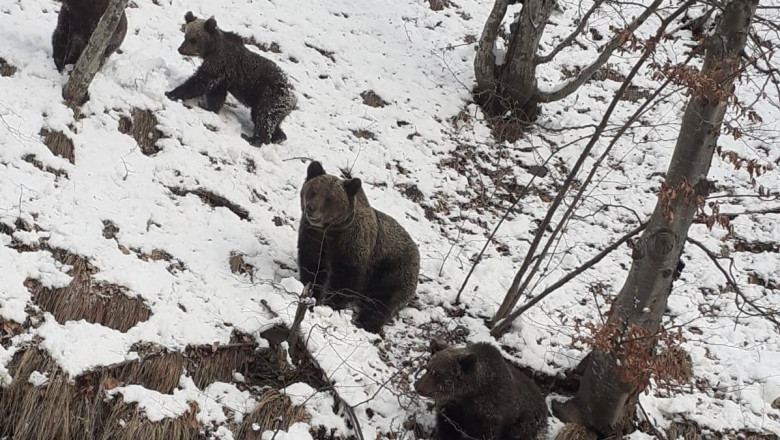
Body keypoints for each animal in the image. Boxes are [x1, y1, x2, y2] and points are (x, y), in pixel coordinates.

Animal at [165, 11, 296, 146]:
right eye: (185, 36)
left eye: (193, 39)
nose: (180, 49)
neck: (211, 49)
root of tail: (293, 98)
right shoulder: (223, 76)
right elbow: (216, 94)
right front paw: (209, 107)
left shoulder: (218, 63)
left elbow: (200, 82)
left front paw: (171, 93)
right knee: (267, 120)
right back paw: (279, 137)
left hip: (270, 97)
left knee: (264, 118)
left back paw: (254, 139)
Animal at [414, 344, 548, 440]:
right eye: (428, 368)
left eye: (438, 373)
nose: (417, 386)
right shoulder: (452, 408)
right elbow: (447, 428)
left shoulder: (489, 413)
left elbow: (484, 434)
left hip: (525, 424)